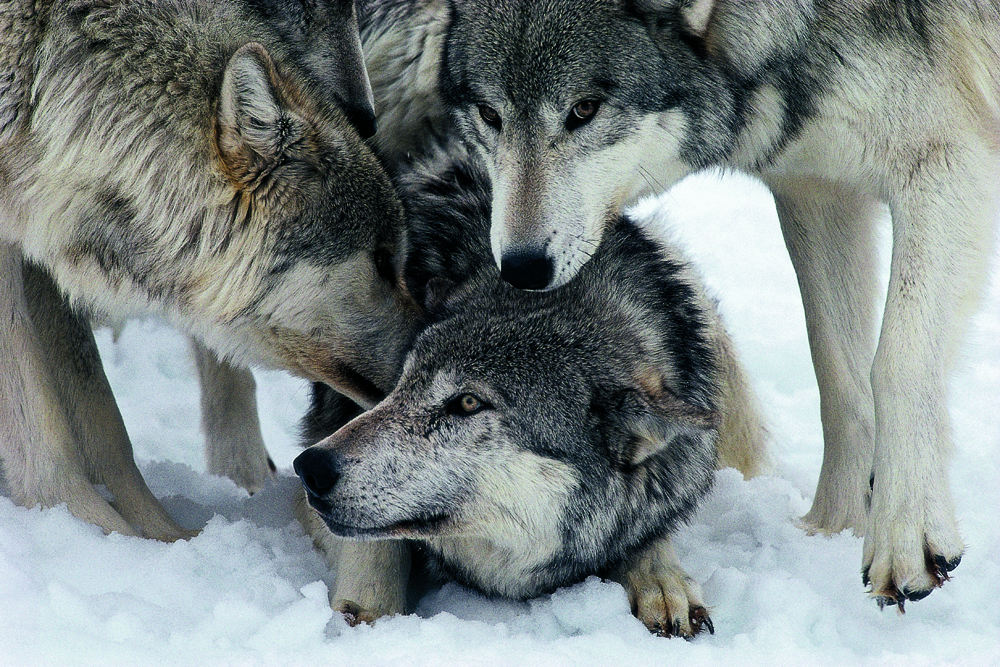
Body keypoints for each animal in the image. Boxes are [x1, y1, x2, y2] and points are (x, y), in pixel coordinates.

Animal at [0, 0, 419, 540]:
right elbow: (41, 419)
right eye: (383, 261)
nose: (430, 342)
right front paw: (102, 533)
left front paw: (159, 536)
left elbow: (101, 414)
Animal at [294, 142, 768, 637]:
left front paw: (660, 579)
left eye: (468, 403)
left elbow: (645, 532)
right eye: (401, 386)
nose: (309, 467)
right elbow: (374, 544)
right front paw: (369, 609)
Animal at [368, 0, 999, 607]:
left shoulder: (945, 163)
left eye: (584, 110)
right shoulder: (816, 183)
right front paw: (833, 529)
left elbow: (895, 362)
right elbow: (839, 376)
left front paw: (906, 535)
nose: (520, 269)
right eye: (490, 115)